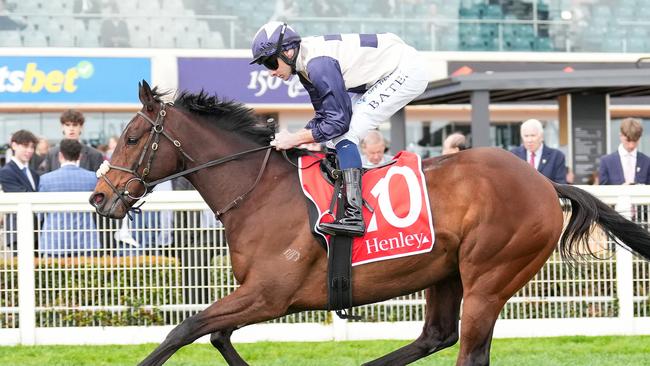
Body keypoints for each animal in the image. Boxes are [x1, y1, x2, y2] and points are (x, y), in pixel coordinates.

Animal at [88, 81, 648, 366]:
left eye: (133, 137)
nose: (99, 197)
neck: (260, 191)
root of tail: (544, 184)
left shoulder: (270, 295)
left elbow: (182, 330)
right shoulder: (261, 296)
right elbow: (216, 337)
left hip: (491, 275)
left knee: (468, 350)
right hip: (445, 272)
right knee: (435, 336)